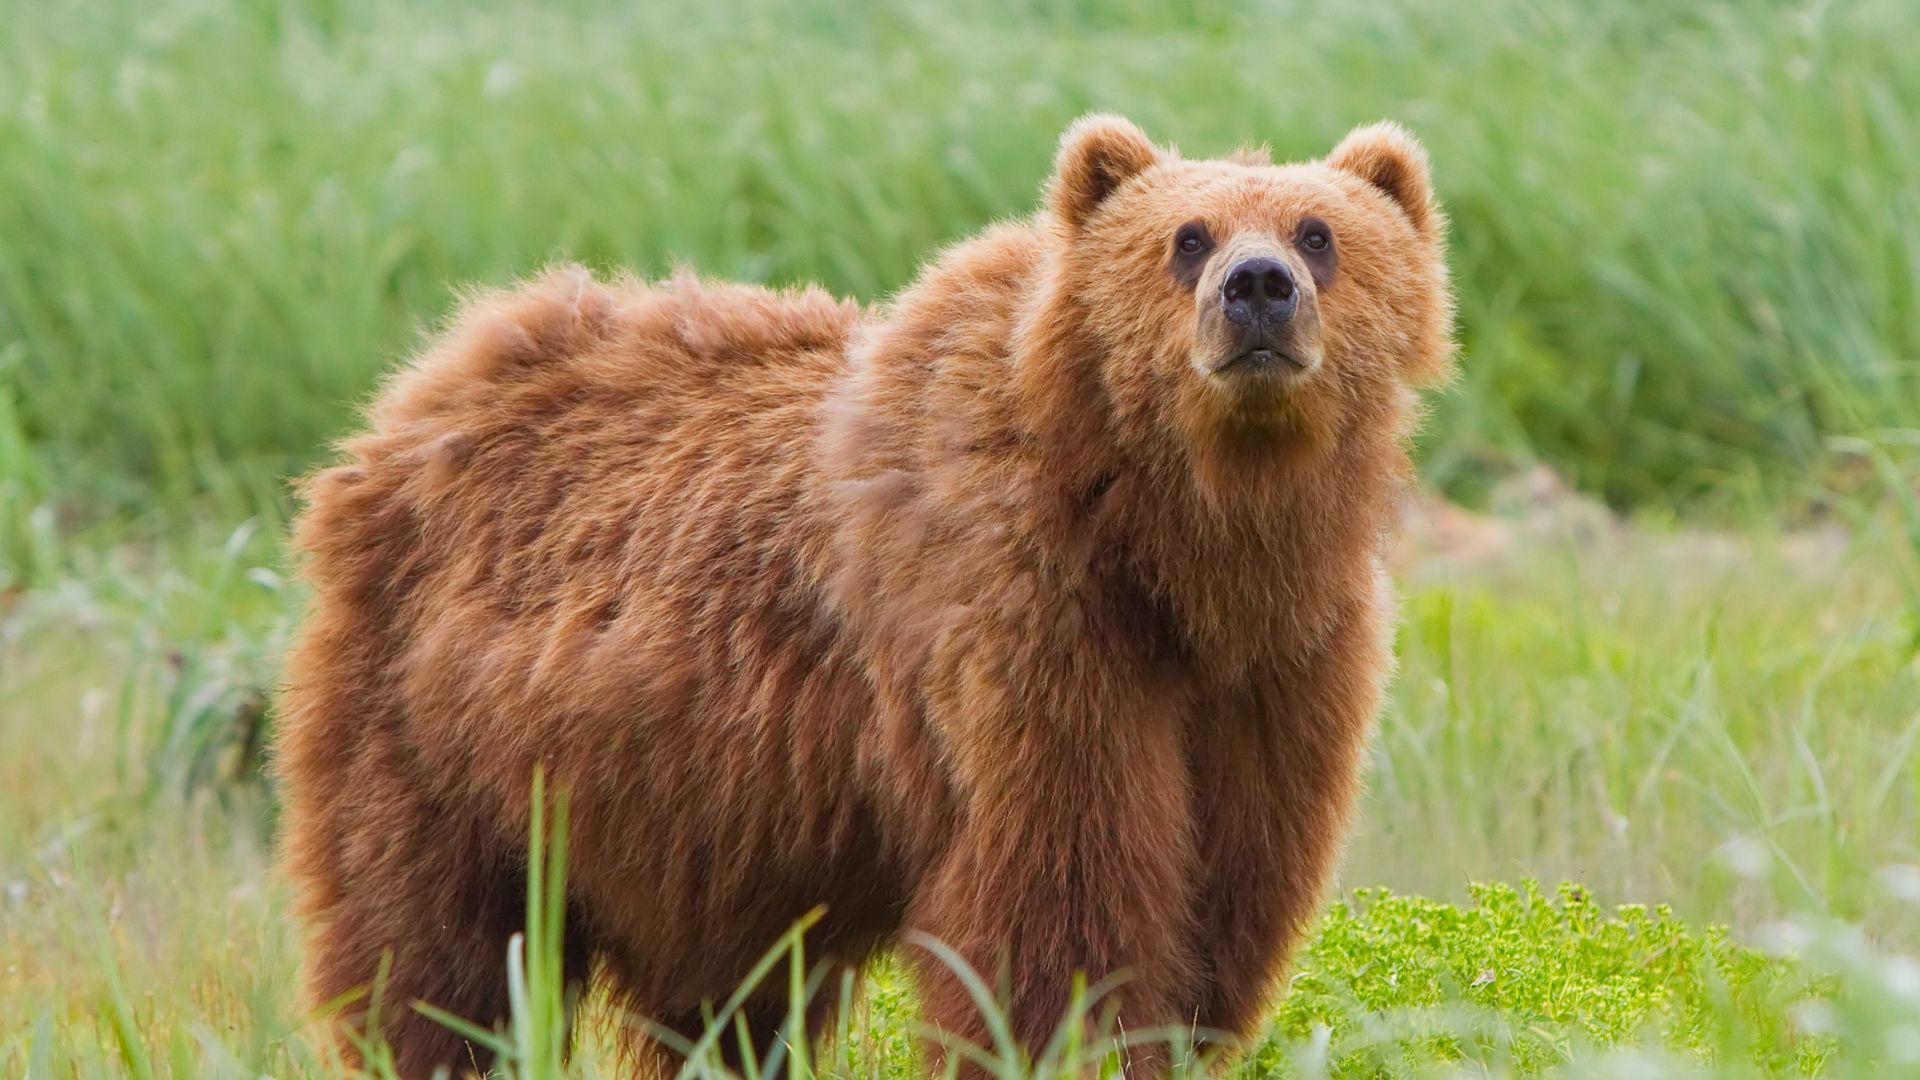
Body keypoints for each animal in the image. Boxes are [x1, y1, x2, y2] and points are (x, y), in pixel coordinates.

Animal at [275, 113, 1453, 1078]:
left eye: (1318, 232)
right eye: (1189, 237)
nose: (1258, 289)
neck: (1178, 548)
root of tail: (424, 384)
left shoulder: (1281, 672)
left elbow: (1226, 900)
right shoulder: (1024, 625)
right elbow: (1061, 909)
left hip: (691, 821)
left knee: (721, 1001)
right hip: (438, 734)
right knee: (434, 953)